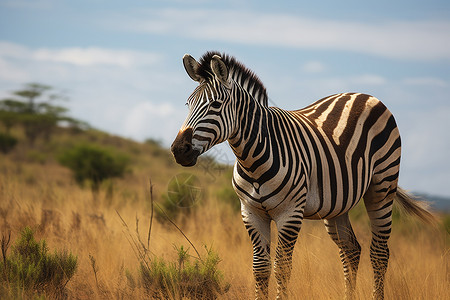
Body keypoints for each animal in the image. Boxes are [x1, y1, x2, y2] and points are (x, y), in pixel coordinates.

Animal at [171, 51, 434, 300]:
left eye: (215, 105)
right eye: (188, 104)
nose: (178, 150)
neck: (253, 159)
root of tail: (362, 95)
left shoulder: (290, 213)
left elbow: (282, 268)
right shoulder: (251, 213)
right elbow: (260, 268)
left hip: (381, 189)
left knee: (379, 253)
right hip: (337, 205)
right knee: (351, 250)